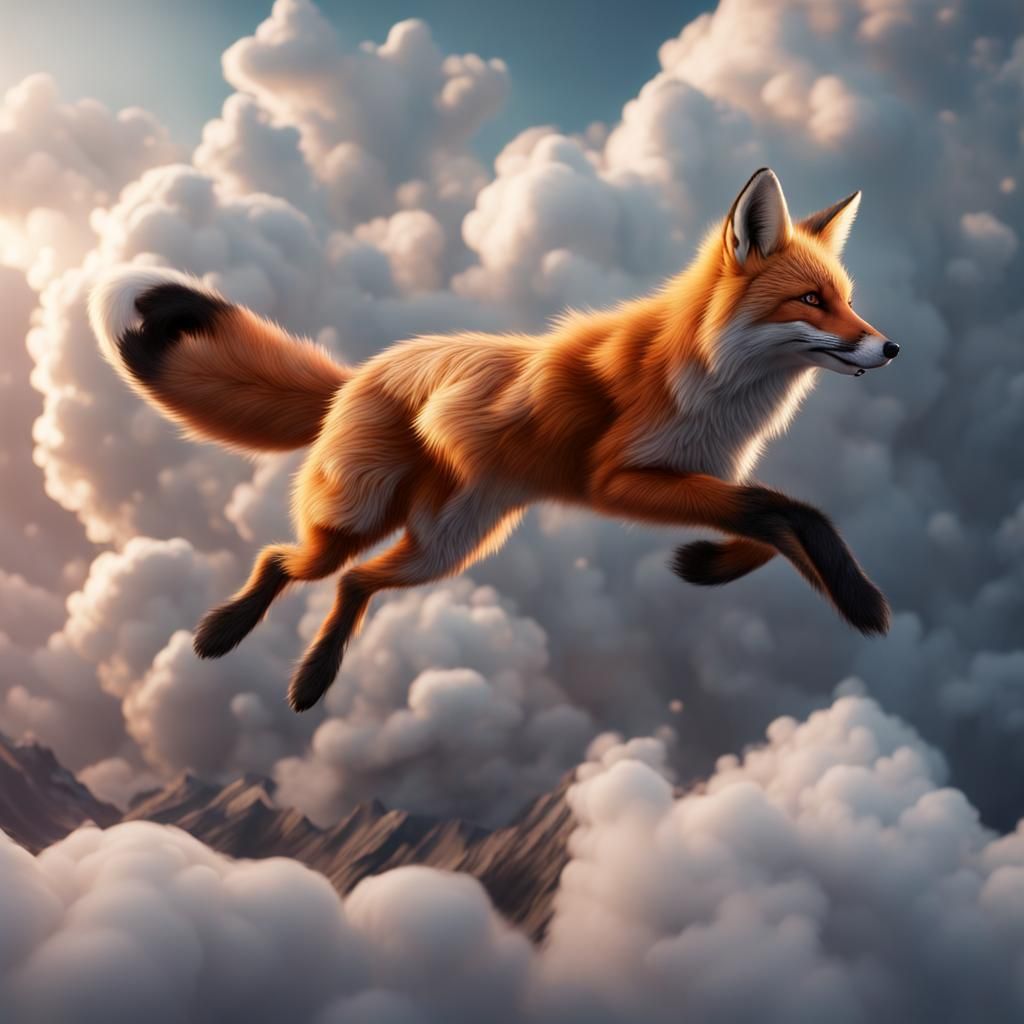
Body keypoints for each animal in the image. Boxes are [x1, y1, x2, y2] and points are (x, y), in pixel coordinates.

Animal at [90, 168, 897, 713]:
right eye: (811, 301)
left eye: (848, 298)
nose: (890, 348)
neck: (711, 378)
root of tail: (360, 372)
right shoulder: (622, 480)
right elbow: (786, 511)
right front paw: (861, 600)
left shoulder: (697, 478)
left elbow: (774, 523)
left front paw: (708, 565)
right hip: (358, 520)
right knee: (283, 560)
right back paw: (225, 633)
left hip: (447, 547)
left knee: (353, 584)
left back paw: (314, 677)